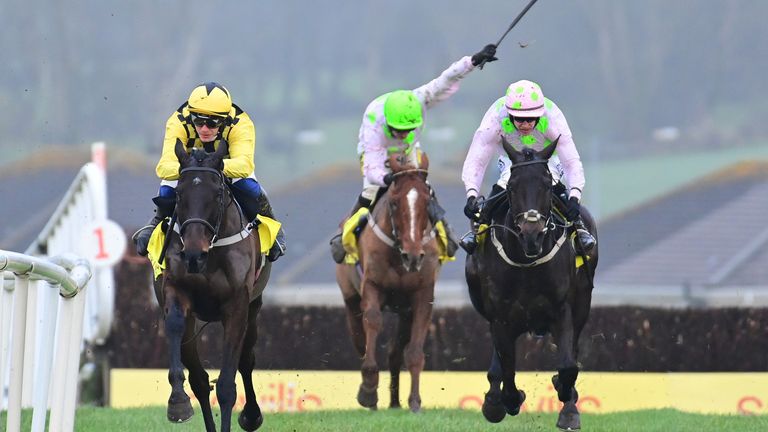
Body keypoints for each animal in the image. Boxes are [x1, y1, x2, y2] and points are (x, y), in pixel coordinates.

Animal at [153, 139, 270, 432]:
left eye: (217, 194)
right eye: (179, 195)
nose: (194, 254)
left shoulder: (238, 305)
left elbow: (228, 385)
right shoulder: (176, 290)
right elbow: (174, 324)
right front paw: (178, 403)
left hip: (254, 308)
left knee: (246, 360)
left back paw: (252, 415)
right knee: (200, 380)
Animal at [334, 151, 438, 412]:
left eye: (427, 202)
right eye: (394, 202)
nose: (413, 256)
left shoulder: (422, 295)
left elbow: (414, 352)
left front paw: (414, 402)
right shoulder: (372, 285)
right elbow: (373, 321)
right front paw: (368, 391)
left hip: (404, 310)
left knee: (394, 353)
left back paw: (394, 403)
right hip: (350, 298)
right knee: (360, 341)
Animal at [464, 137, 596, 430]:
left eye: (548, 184)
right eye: (512, 187)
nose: (531, 233)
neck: (526, 260)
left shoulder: (563, 309)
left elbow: (568, 366)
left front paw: (567, 405)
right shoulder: (500, 316)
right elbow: (507, 367)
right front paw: (505, 401)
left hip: (582, 304)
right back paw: (494, 400)